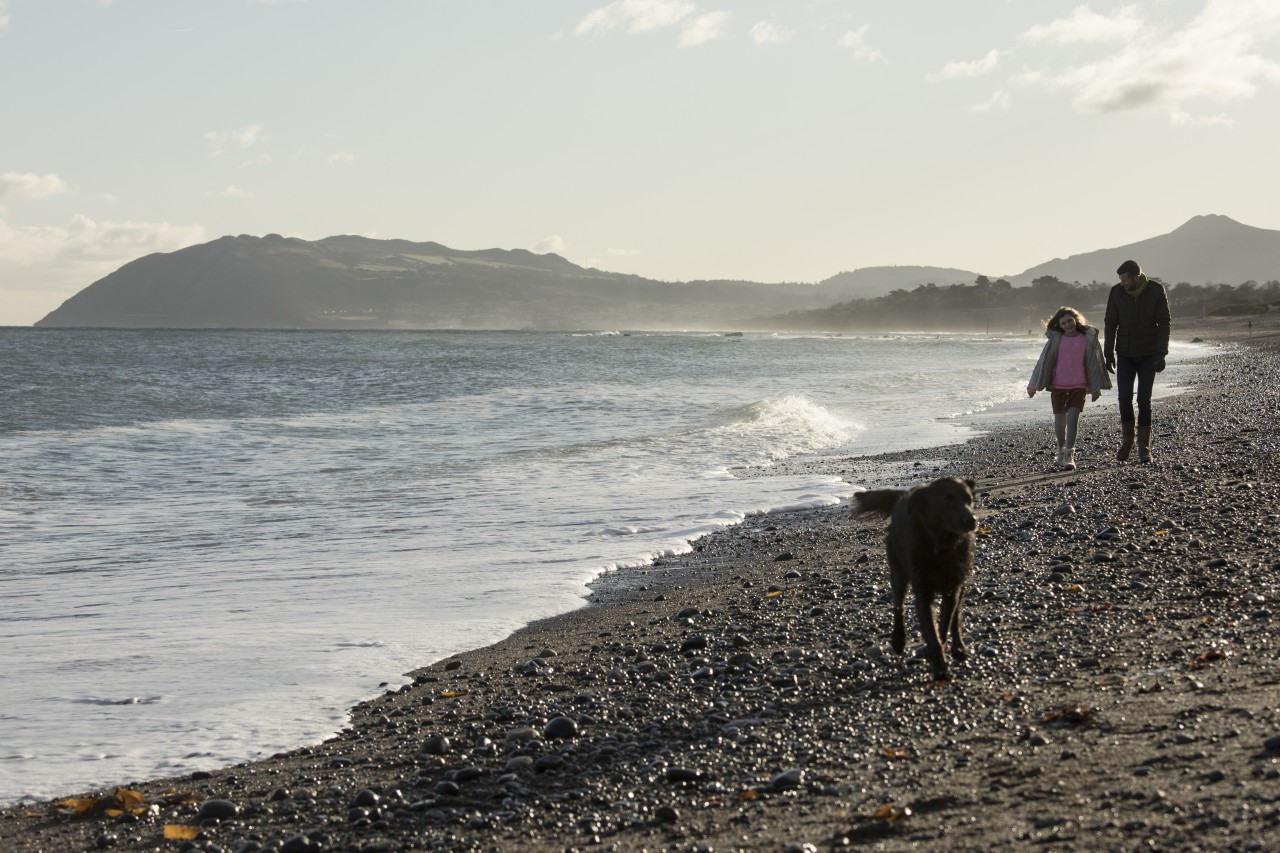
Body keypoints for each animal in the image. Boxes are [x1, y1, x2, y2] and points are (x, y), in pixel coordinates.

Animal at [855, 473, 972, 681]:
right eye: (946, 500)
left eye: (969, 499)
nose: (971, 520)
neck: (942, 545)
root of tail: (903, 496)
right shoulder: (922, 591)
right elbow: (932, 630)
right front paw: (940, 667)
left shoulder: (952, 587)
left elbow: (944, 624)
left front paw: (938, 656)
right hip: (898, 572)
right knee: (898, 605)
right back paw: (898, 640)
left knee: (956, 615)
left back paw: (958, 648)